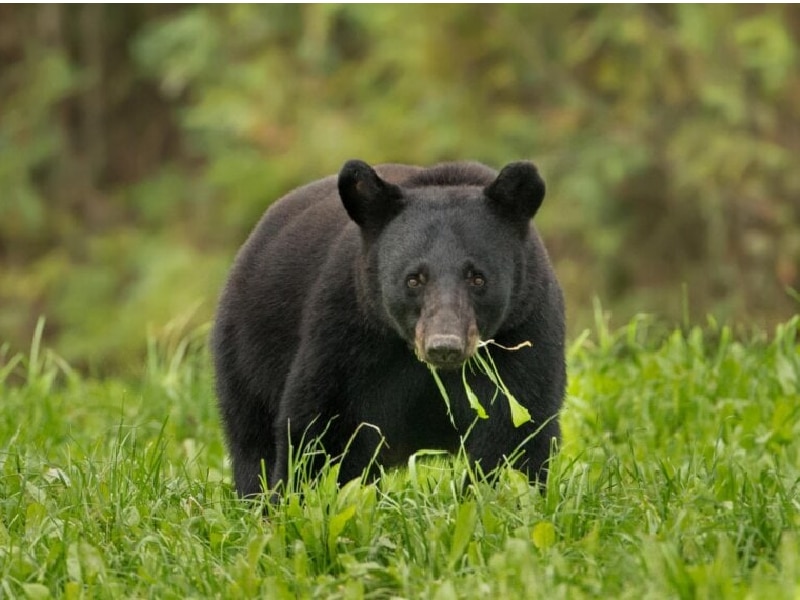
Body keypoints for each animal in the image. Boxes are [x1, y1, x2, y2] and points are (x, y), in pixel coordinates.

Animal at [209, 158, 564, 496]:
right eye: (414, 279)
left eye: (477, 278)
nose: (444, 346)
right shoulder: (348, 333)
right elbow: (325, 429)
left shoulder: (523, 331)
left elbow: (514, 431)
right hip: (247, 352)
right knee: (252, 443)